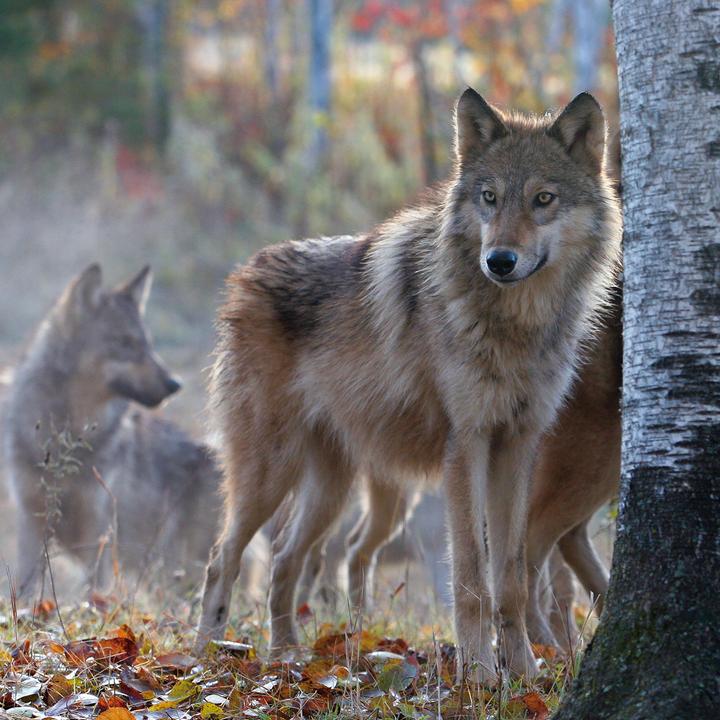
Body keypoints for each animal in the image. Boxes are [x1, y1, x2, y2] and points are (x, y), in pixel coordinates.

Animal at [5, 265, 226, 597]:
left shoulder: (99, 534)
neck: (68, 434)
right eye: (125, 343)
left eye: (148, 344)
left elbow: (94, 593)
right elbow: (27, 589)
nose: (175, 384)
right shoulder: (31, 522)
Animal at [196, 88, 622, 682]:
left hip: (331, 490)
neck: (515, 326)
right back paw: (202, 660)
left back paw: (287, 657)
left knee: (284, 560)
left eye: (543, 199)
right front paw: (480, 678)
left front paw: (526, 677)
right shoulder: (466, 447)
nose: (500, 260)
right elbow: (472, 579)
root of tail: (246, 270)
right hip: (270, 474)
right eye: (489, 198)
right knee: (222, 559)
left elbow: (512, 578)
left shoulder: (517, 446)